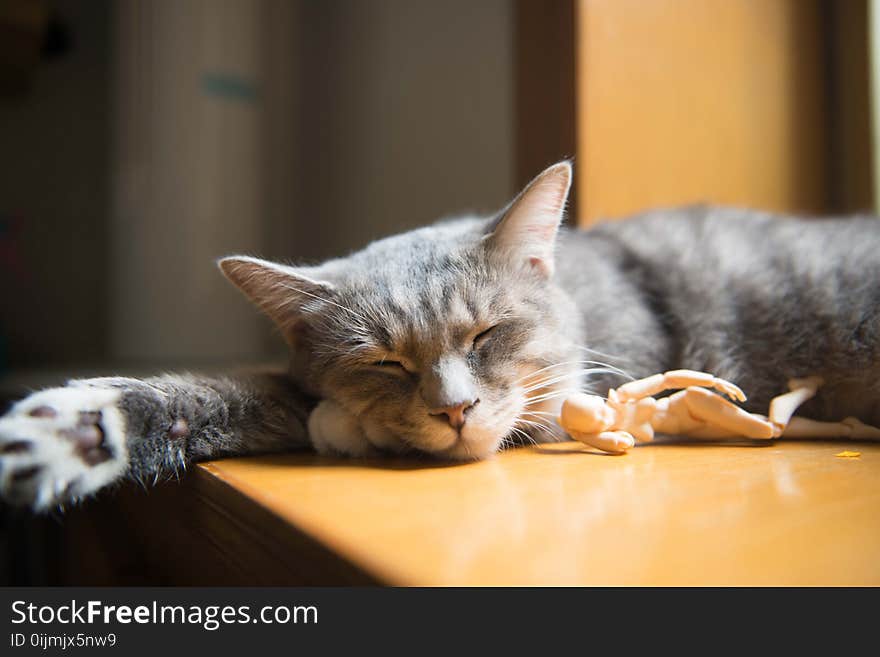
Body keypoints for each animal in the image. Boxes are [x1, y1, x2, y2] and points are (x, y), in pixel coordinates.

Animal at [1, 161, 880, 510]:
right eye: (384, 361)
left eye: (488, 331)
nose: (455, 409)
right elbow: (223, 393)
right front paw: (74, 429)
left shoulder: (605, 385)